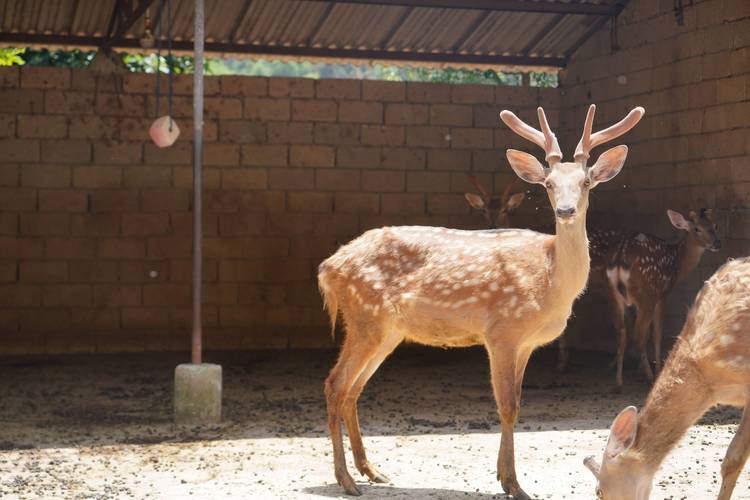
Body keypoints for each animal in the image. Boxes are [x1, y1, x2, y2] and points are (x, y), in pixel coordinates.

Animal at [317, 103, 644, 498]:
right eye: (548, 183)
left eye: (586, 182)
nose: (565, 211)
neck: (550, 281)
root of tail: (327, 267)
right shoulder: (502, 331)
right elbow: (506, 406)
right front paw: (514, 483)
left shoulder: (527, 343)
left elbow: (517, 403)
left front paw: (505, 477)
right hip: (366, 317)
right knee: (335, 384)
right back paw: (346, 479)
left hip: (386, 330)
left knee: (354, 388)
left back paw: (372, 470)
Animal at [607, 208, 721, 389]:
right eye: (697, 229)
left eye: (715, 225)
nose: (717, 243)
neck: (677, 264)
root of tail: (619, 258)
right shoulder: (663, 293)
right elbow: (656, 333)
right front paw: (657, 368)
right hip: (646, 295)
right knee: (638, 335)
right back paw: (650, 377)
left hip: (613, 295)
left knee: (621, 333)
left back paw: (618, 382)